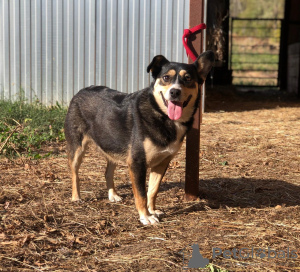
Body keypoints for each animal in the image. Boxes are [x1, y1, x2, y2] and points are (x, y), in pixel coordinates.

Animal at [65, 51, 216, 225]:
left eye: (188, 78)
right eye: (166, 77)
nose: (174, 92)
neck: (163, 116)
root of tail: (81, 91)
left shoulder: (162, 163)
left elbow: (153, 190)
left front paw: (152, 210)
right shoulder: (137, 163)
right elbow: (141, 194)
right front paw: (145, 216)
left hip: (113, 145)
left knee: (108, 172)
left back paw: (112, 195)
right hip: (77, 148)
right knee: (75, 173)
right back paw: (76, 197)